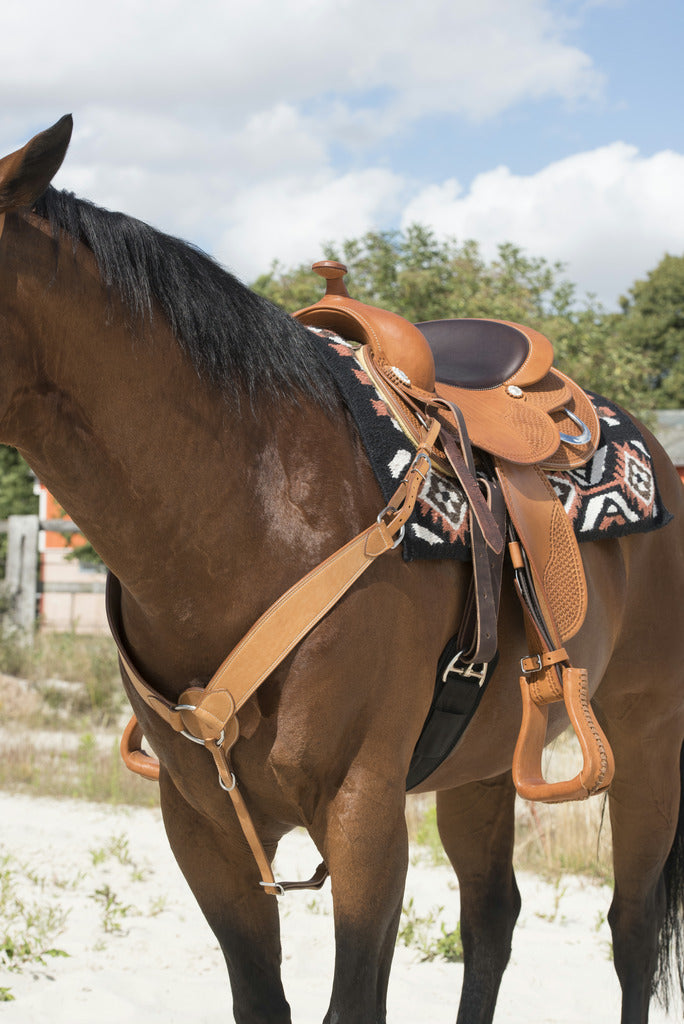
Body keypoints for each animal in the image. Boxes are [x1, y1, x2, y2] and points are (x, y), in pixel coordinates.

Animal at [0, 112, 679, 1024]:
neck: (249, 515)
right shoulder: (203, 828)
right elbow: (263, 1001)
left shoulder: (364, 815)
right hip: (484, 767)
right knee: (492, 917)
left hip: (648, 735)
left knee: (632, 928)